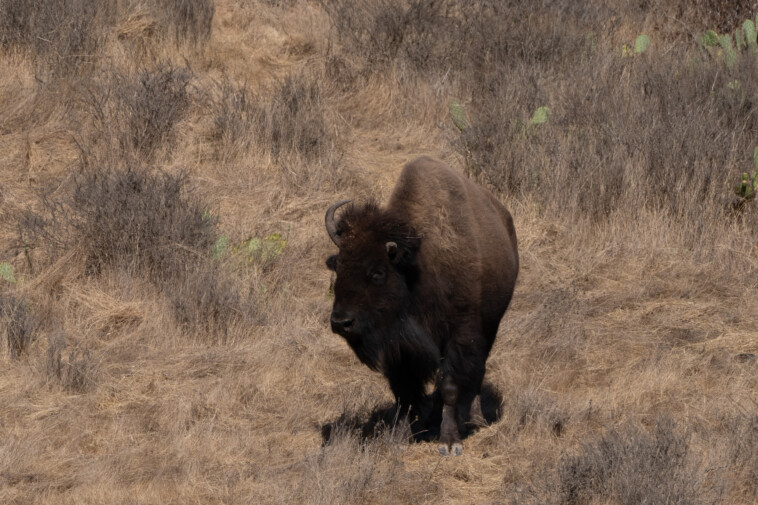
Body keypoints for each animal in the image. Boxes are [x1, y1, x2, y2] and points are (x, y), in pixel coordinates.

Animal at [324, 156, 520, 454]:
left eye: (377, 272)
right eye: (338, 266)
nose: (341, 322)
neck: (416, 267)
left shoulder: (460, 335)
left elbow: (450, 385)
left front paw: (449, 442)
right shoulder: (399, 348)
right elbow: (404, 391)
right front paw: (401, 436)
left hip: (489, 327)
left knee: (476, 374)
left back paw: (474, 419)